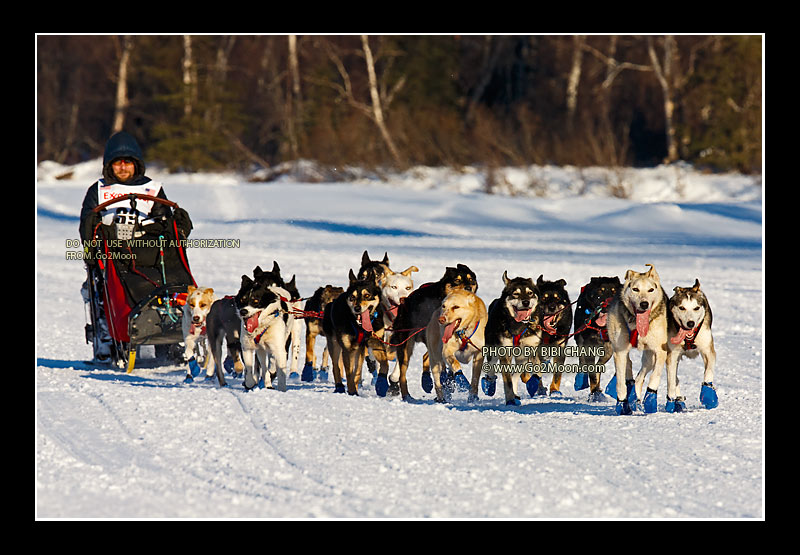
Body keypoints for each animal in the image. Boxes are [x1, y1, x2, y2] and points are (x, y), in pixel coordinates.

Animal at [608, 264, 668, 416]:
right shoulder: (620, 352)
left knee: (640, 377)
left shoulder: (660, 351)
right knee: (629, 368)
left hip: (650, 358)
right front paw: (622, 404)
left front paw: (650, 399)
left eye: (651, 289)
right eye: (635, 289)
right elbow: (620, 382)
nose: (644, 304)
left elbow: (655, 376)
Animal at [664, 280, 720, 410]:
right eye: (682, 308)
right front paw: (671, 401)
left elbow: (708, 372)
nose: (690, 323)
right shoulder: (672, 355)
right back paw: (678, 399)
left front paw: (708, 395)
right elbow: (671, 381)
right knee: (675, 378)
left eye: (696, 308)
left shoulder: (708, 350)